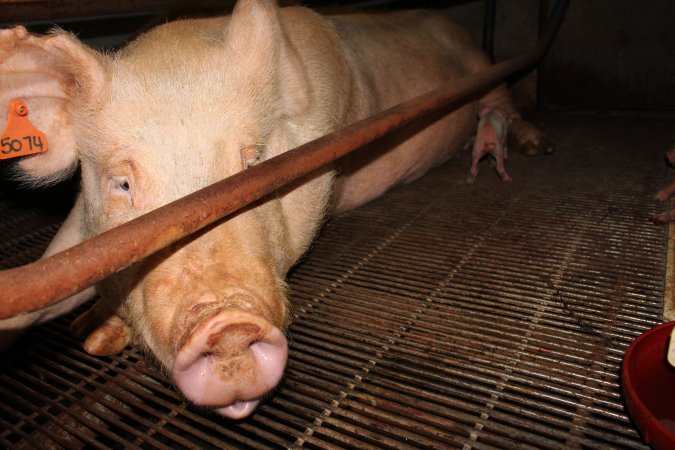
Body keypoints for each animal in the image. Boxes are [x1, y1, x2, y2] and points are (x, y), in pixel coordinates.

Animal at [0, 0, 552, 418]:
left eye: (255, 163)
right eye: (122, 183)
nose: (225, 324)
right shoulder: (80, 236)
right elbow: (40, 285)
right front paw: (91, 335)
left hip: (483, 66)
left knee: (501, 100)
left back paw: (530, 146)